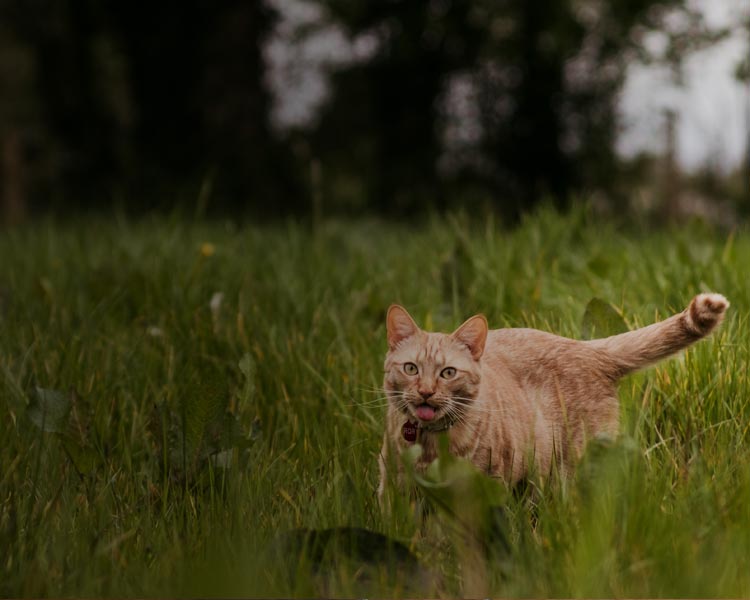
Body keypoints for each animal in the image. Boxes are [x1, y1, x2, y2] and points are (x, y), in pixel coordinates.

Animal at [378, 292, 732, 494]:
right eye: (411, 369)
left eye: (448, 373)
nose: (425, 393)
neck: (429, 445)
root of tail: (583, 346)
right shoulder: (394, 489)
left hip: (576, 466)